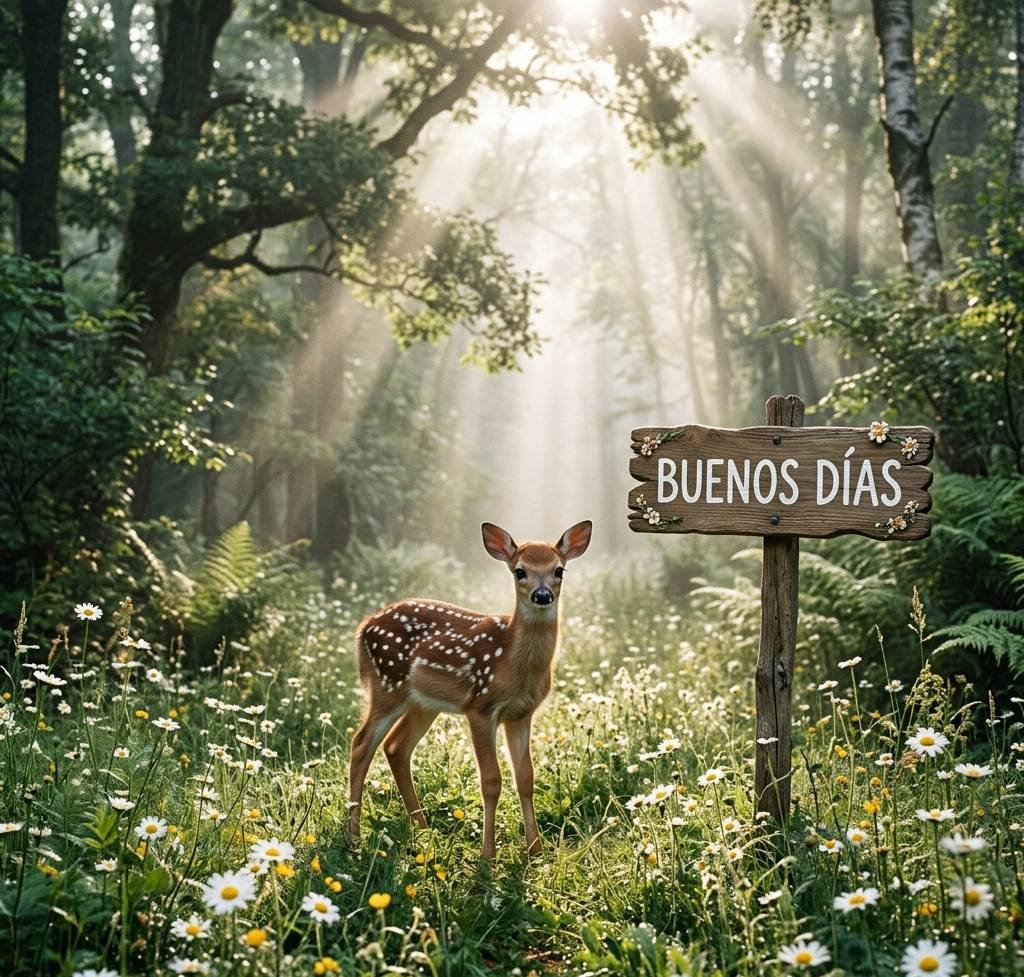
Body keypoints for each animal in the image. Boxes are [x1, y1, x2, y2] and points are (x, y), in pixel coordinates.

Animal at [346, 520, 593, 859]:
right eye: (520, 571)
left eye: (559, 570)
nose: (542, 595)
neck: (511, 661)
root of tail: (364, 626)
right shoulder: (480, 707)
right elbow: (491, 780)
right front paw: (488, 855)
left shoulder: (521, 714)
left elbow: (525, 777)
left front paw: (535, 850)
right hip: (387, 684)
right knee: (361, 744)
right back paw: (353, 838)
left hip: (423, 703)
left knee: (396, 747)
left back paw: (422, 827)